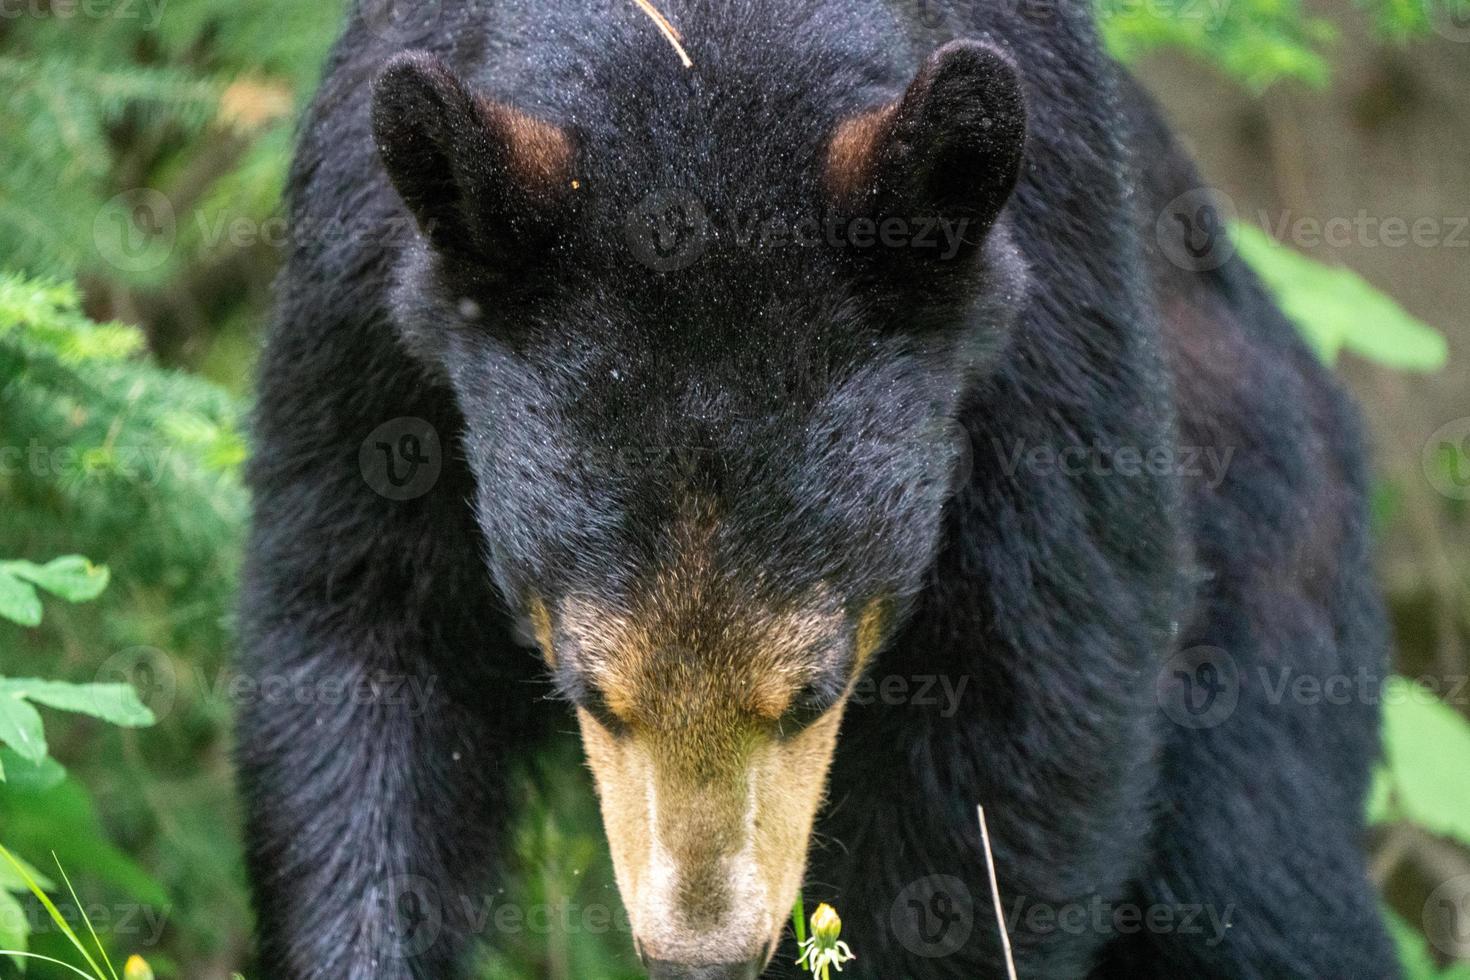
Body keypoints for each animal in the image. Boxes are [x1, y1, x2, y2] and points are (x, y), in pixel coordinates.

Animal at [235, 1, 1393, 980]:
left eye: (814, 689)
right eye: (590, 690)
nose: (702, 955)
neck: (700, 74)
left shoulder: (1045, 319)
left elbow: (1026, 714)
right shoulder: (366, 300)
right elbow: (358, 634)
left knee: (1258, 873)